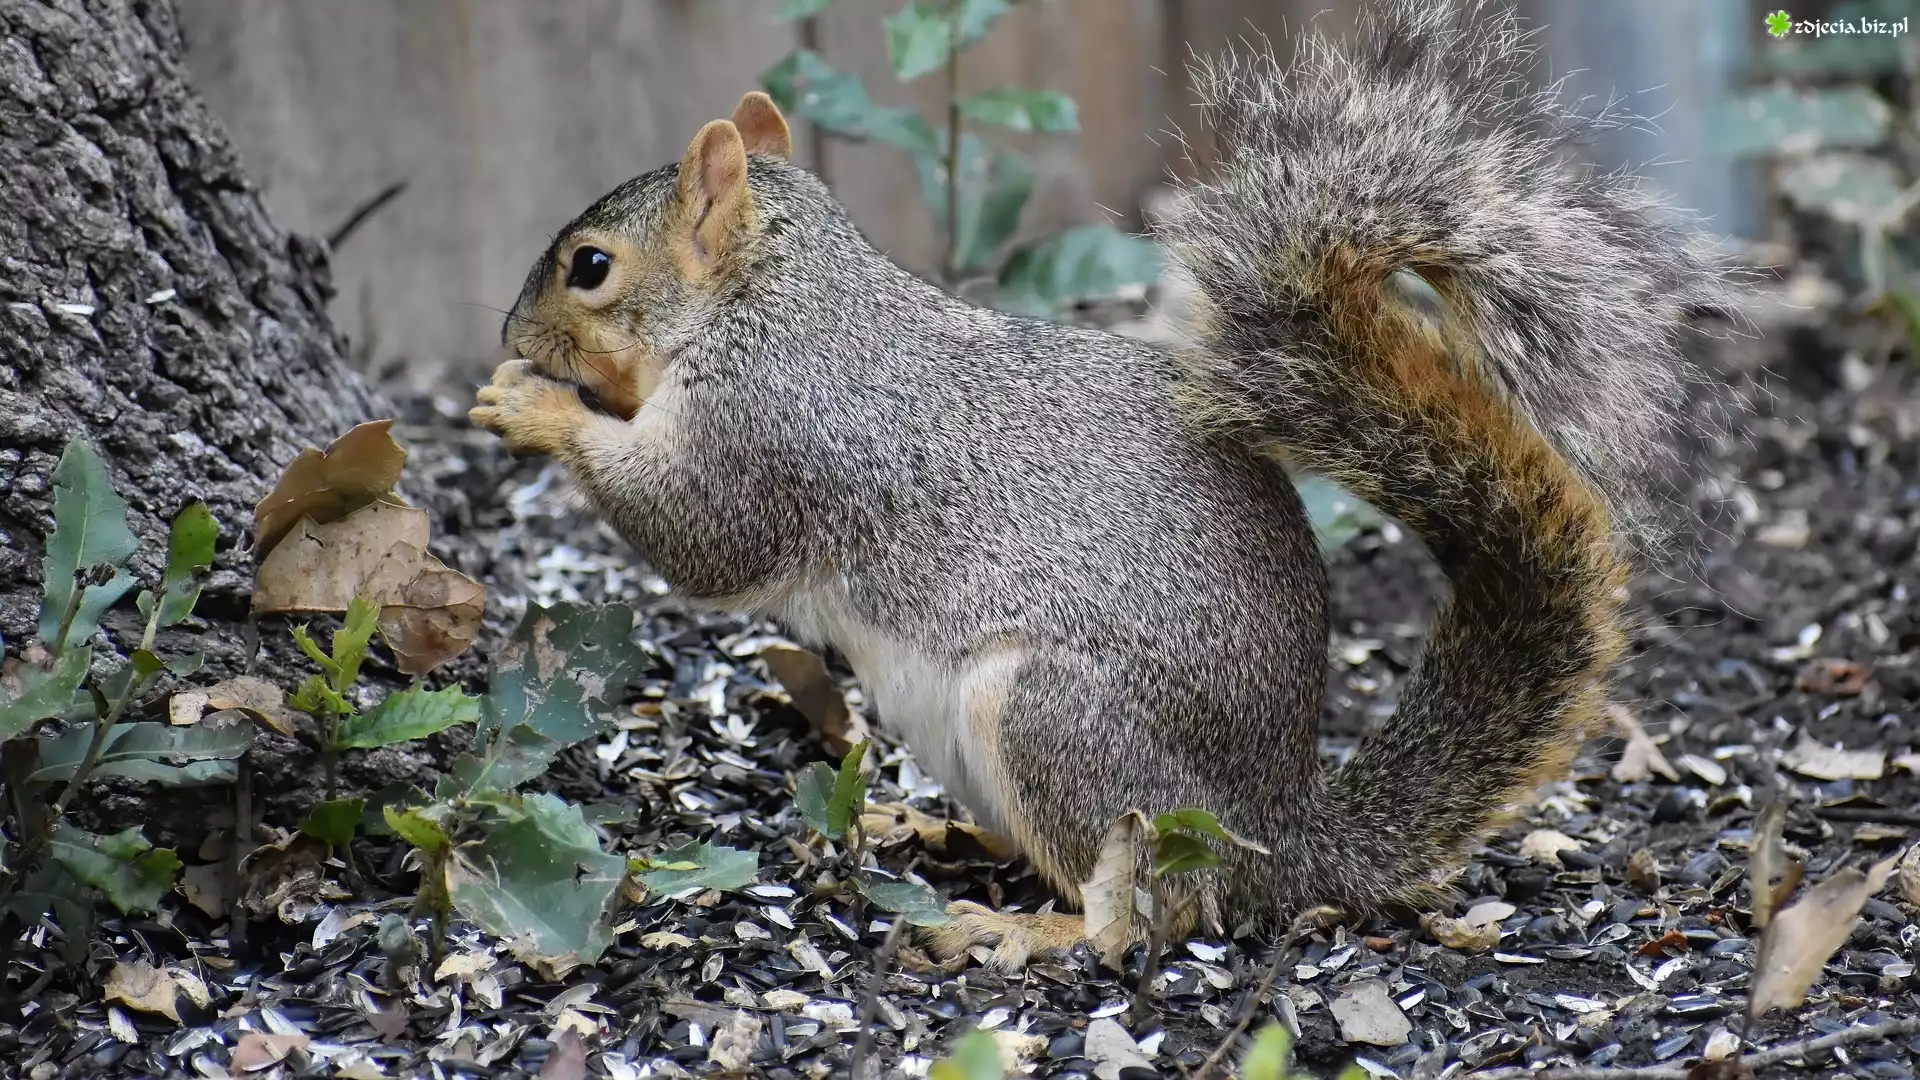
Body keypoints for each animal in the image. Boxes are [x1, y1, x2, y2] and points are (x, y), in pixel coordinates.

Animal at [473, 0, 1726, 968]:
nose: (508, 331)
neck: (772, 301)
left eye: (590, 268)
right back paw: (933, 832)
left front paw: (532, 405)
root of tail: (1266, 839)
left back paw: (1031, 931)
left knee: (1149, 915)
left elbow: (701, 536)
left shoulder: (774, 432)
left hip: (1050, 716)